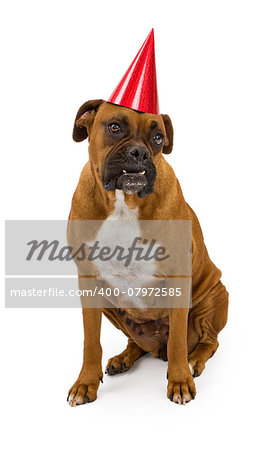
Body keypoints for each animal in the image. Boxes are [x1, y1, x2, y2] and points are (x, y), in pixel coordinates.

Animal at [66, 100, 229, 406]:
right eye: (114, 127)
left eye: (158, 138)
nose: (139, 152)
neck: (123, 203)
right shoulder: (88, 282)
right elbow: (91, 342)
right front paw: (85, 383)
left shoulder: (179, 278)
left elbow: (177, 341)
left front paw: (180, 380)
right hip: (110, 305)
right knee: (136, 343)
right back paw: (124, 358)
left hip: (213, 300)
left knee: (208, 342)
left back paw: (193, 361)